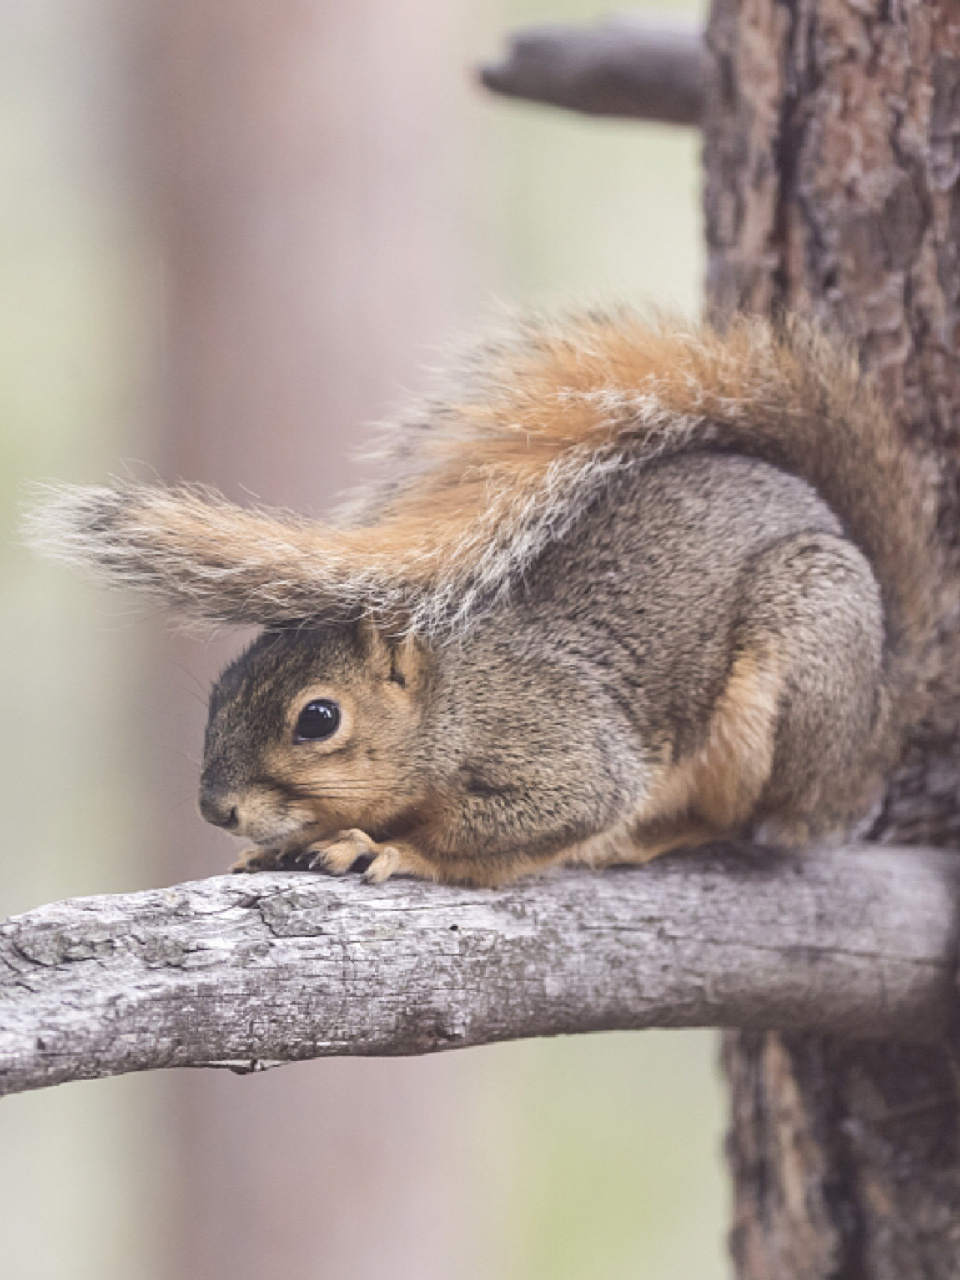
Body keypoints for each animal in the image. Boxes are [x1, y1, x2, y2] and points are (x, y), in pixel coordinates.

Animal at [28, 314, 942, 885]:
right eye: (218, 691)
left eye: (317, 719)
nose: (215, 809)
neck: (453, 702)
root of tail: (875, 722)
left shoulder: (560, 748)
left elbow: (519, 823)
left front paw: (389, 847)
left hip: (795, 665)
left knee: (745, 819)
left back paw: (646, 837)